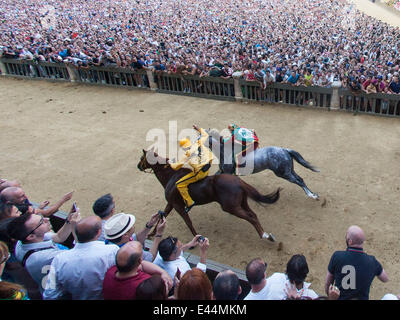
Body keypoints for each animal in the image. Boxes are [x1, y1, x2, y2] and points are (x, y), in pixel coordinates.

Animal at [138, 149, 282, 241]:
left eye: (141, 158)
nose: (138, 166)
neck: (171, 176)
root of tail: (238, 181)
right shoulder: (171, 203)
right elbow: (162, 216)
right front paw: (152, 233)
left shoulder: (178, 206)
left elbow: (188, 222)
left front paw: (197, 238)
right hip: (241, 203)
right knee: (253, 215)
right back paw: (267, 235)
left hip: (231, 207)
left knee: (251, 218)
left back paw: (264, 235)